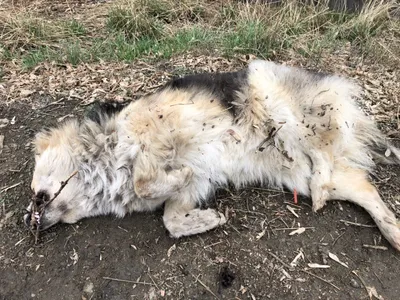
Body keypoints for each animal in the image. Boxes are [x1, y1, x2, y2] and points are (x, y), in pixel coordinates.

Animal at [23, 59, 400, 250]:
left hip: (278, 104)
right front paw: (207, 219)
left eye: (35, 193)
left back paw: (322, 187)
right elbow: (172, 219)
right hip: (299, 173)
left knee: (321, 150)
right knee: (365, 189)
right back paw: (393, 232)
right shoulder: (192, 190)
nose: (27, 220)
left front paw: (173, 172)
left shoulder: (167, 124)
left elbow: (148, 176)